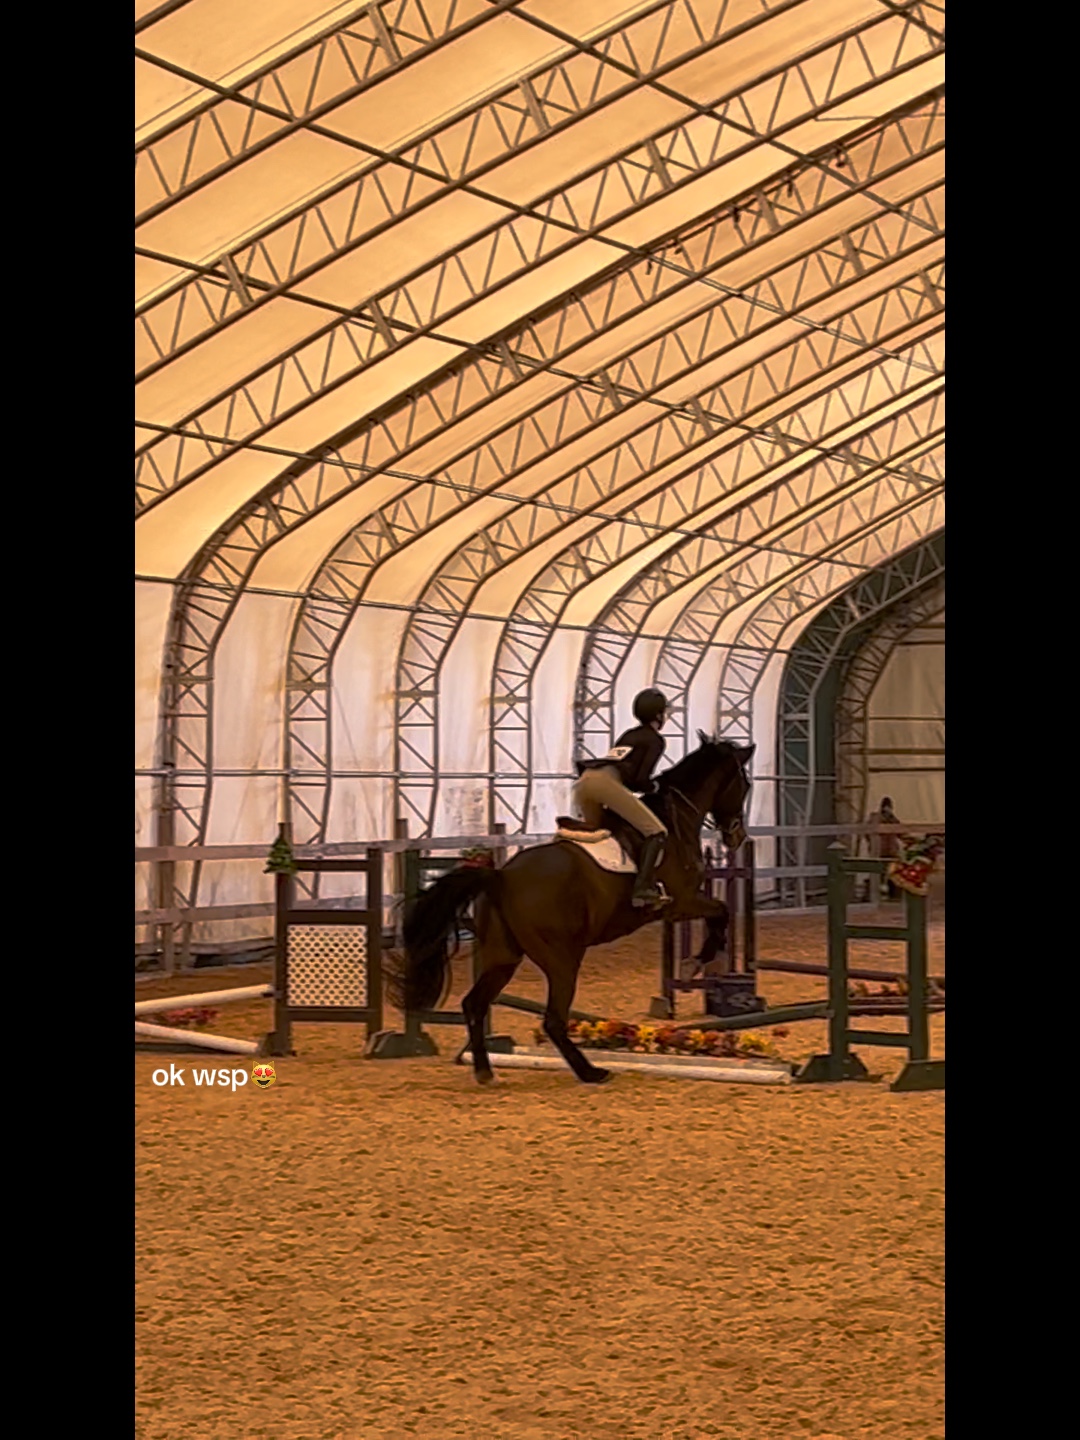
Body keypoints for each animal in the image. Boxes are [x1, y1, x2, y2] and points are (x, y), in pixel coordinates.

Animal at [387, 733, 755, 1085]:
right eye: (745, 784)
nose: (737, 836)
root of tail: (501, 876)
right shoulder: (682, 903)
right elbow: (721, 912)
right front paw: (695, 963)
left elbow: (720, 914)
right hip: (561, 959)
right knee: (552, 1019)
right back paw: (591, 1073)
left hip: (503, 955)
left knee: (475, 1004)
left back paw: (485, 1070)